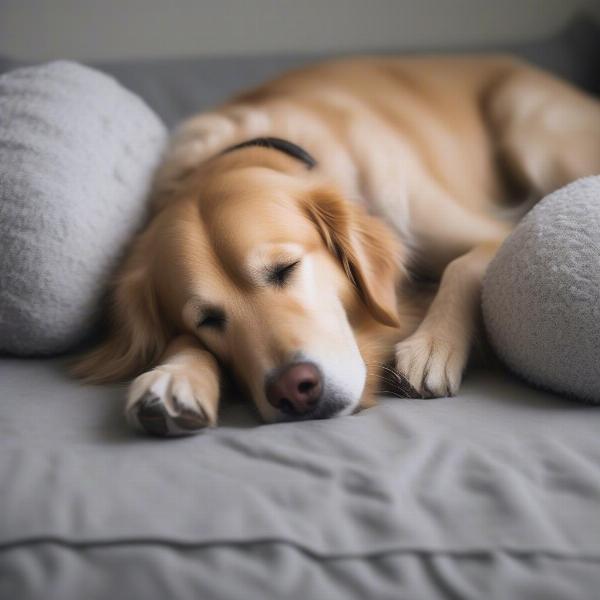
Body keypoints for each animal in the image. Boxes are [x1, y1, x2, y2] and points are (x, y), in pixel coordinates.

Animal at [74, 56, 600, 434]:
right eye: (206, 320)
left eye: (286, 268)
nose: (294, 391)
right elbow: (178, 342)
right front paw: (176, 374)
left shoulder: (492, 233)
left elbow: (462, 267)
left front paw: (432, 346)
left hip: (531, 130)